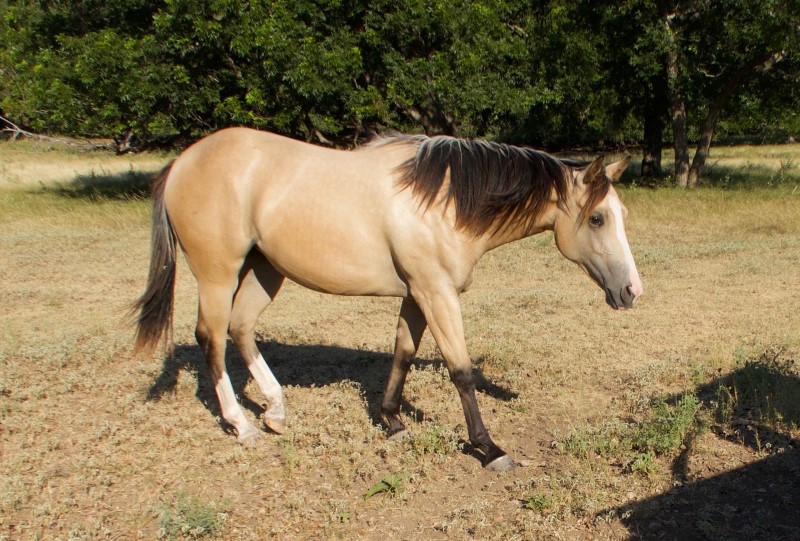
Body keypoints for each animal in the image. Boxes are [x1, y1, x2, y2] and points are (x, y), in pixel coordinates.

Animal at [133, 129, 644, 470]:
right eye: (597, 218)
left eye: (620, 214)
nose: (632, 291)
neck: (443, 202)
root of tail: (182, 162)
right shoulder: (436, 293)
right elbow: (461, 371)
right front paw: (488, 448)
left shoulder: (418, 294)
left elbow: (403, 352)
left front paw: (392, 421)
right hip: (218, 274)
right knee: (212, 338)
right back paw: (242, 424)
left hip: (264, 269)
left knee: (241, 329)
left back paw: (275, 410)